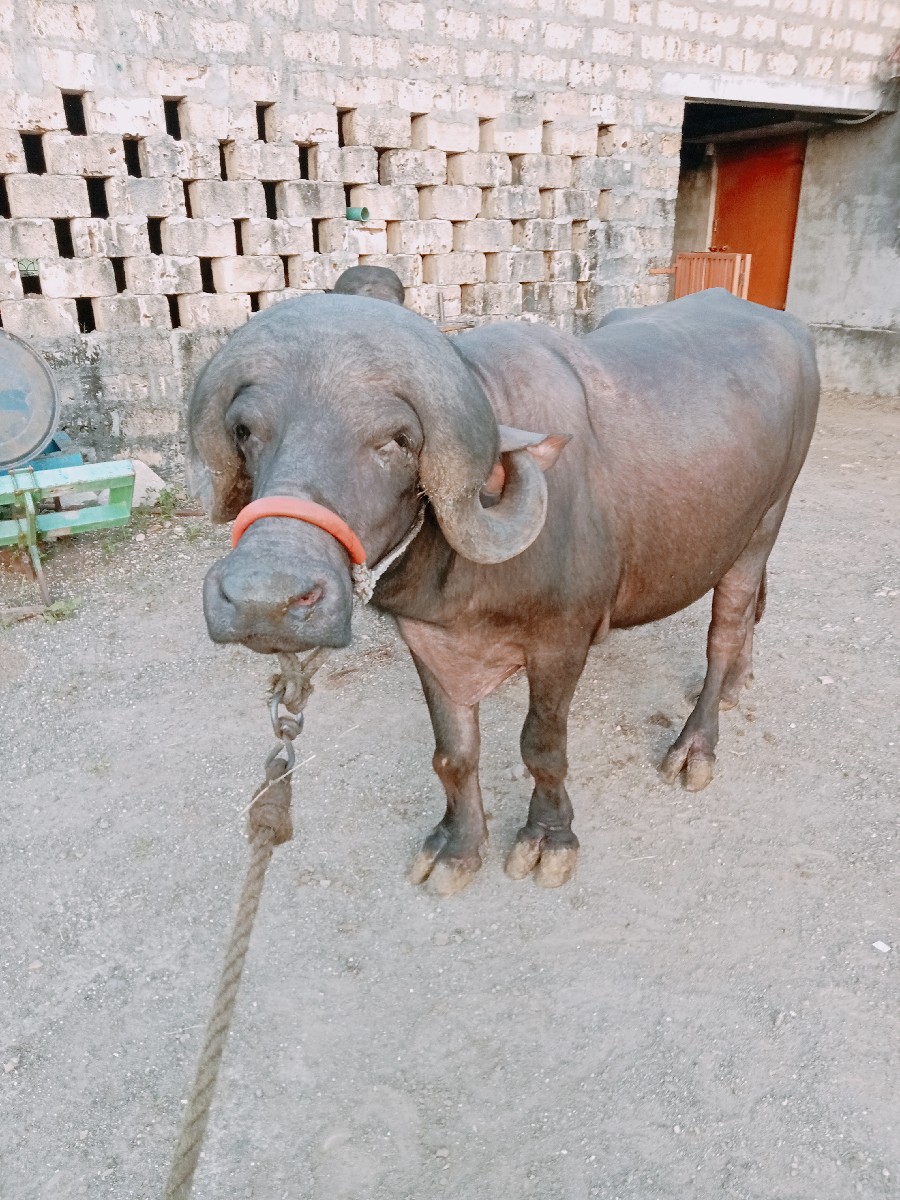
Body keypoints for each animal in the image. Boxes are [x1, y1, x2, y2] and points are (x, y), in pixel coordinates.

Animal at [188, 288, 819, 896]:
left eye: (397, 440)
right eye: (245, 431)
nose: (265, 599)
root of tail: (792, 329)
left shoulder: (561, 641)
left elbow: (541, 747)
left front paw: (549, 839)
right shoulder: (429, 641)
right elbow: (453, 752)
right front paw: (458, 847)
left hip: (764, 523)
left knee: (726, 628)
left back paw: (695, 747)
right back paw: (738, 681)